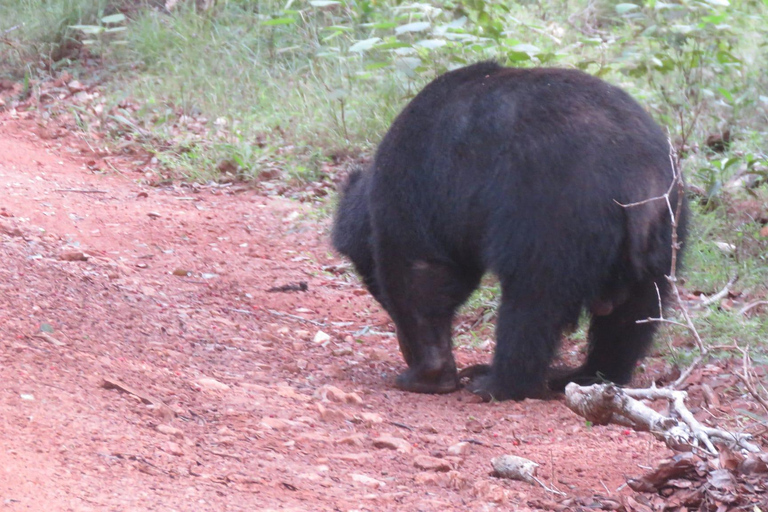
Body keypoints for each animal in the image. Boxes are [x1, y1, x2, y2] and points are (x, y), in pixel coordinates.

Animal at [332, 62, 688, 402]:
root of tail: (639, 179)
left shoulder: (422, 189)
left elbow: (422, 275)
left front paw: (424, 375)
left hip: (553, 214)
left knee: (533, 301)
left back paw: (495, 383)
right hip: (665, 234)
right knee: (632, 315)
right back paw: (585, 375)